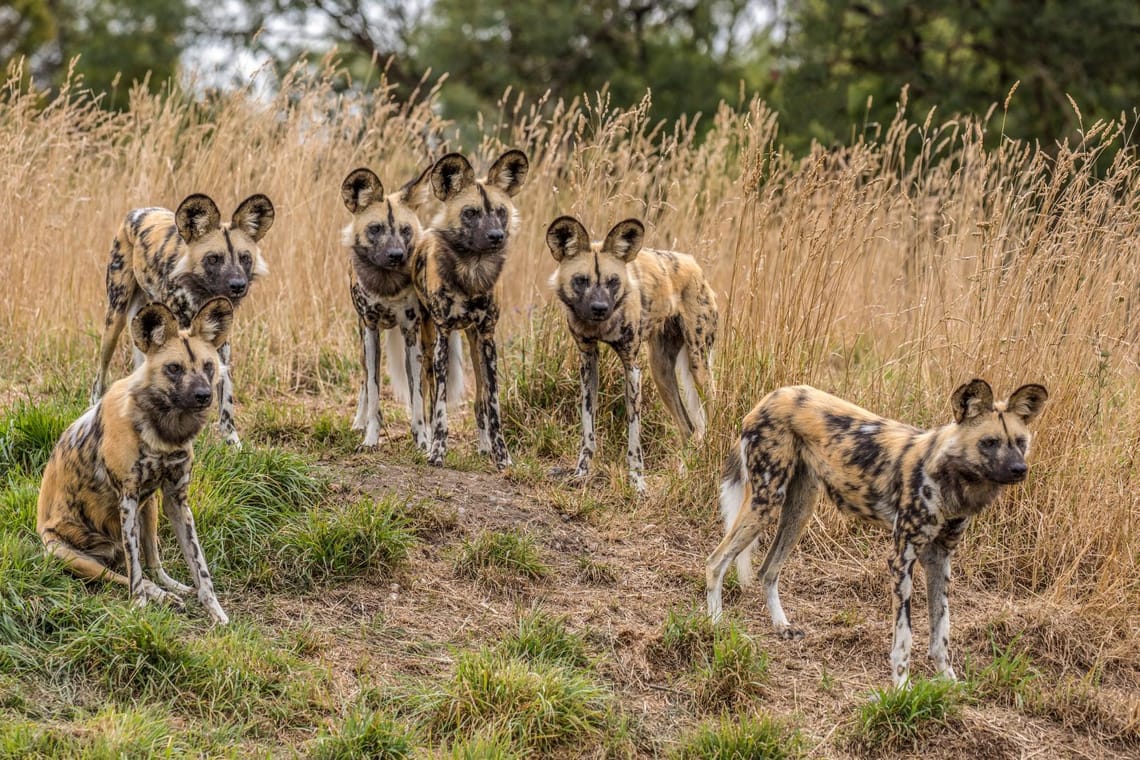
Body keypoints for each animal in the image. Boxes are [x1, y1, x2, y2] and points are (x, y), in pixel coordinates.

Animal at [39, 296, 235, 624]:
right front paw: (140, 606)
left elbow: (200, 568)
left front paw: (216, 612)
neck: (163, 432)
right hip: (69, 555)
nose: (204, 395)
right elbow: (135, 571)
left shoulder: (177, 500)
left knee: (153, 564)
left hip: (151, 505)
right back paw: (160, 596)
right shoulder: (127, 500)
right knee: (124, 573)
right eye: (174, 368)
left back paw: (172, 588)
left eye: (208, 366)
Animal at [91, 193, 273, 448]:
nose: (238, 285)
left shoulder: (218, 349)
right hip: (114, 318)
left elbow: (226, 409)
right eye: (213, 259)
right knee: (99, 377)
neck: (200, 295)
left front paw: (234, 447)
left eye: (245, 258)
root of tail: (140, 210)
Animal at [412, 148, 531, 469]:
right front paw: (438, 451)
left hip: (475, 343)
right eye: (471, 213)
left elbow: (493, 406)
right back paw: (427, 441)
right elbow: (440, 408)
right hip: (427, 345)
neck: (472, 272)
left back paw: (484, 447)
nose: (496, 236)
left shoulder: (488, 339)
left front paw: (502, 456)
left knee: (479, 401)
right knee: (427, 398)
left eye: (500, 212)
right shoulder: (442, 336)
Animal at [544, 216, 720, 496]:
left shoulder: (632, 369)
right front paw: (581, 473)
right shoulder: (588, 363)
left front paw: (637, 483)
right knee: (688, 429)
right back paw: (683, 475)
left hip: (699, 365)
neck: (600, 327)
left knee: (708, 419)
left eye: (613, 281)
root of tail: (695, 266)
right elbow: (587, 431)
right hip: (661, 372)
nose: (600, 308)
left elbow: (634, 438)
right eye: (581, 280)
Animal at [702, 382, 1048, 688]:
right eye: (989, 442)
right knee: (715, 561)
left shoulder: (940, 560)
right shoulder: (901, 559)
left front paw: (949, 682)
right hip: (766, 502)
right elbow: (904, 637)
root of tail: (772, 396)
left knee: (768, 570)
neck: (952, 482)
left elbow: (941, 632)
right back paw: (716, 625)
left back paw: (781, 626)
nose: (1019, 469)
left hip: (799, 509)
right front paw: (902, 687)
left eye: (1020, 441)